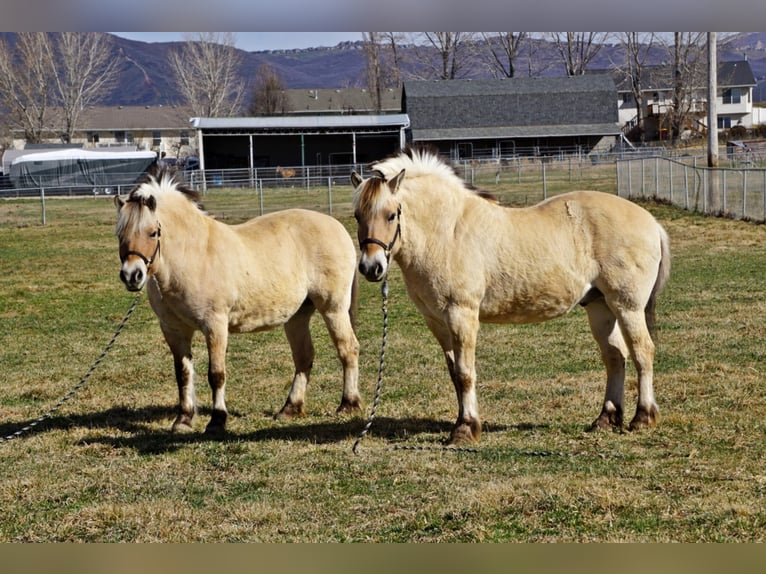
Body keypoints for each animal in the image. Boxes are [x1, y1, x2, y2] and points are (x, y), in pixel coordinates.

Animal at [114, 166, 364, 436]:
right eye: (120, 235)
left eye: (153, 232)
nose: (132, 275)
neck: (194, 255)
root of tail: (336, 226)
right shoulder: (174, 330)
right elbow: (183, 374)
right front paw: (184, 420)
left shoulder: (215, 325)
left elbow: (216, 374)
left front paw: (217, 421)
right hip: (297, 316)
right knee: (304, 356)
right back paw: (290, 408)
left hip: (333, 309)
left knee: (348, 349)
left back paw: (348, 404)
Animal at [352, 146, 668, 448]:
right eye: (358, 216)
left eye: (391, 214)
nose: (371, 267)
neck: (447, 232)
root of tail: (652, 222)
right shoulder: (437, 322)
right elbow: (455, 374)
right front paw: (463, 422)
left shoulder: (462, 314)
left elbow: (466, 373)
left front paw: (465, 429)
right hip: (600, 307)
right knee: (615, 357)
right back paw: (606, 418)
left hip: (627, 307)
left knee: (642, 352)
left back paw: (643, 417)